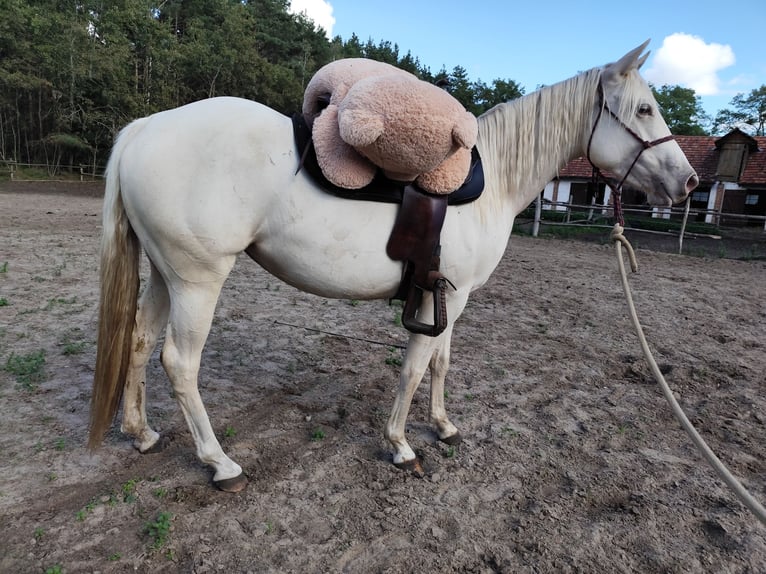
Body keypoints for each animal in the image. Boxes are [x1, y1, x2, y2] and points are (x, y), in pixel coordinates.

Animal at [90, 40, 704, 492]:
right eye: (644, 109)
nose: (689, 182)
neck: (491, 183)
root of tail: (146, 127)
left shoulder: (451, 295)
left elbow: (440, 363)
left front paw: (443, 426)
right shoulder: (446, 295)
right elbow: (413, 367)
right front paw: (401, 445)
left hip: (167, 274)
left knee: (140, 340)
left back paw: (141, 433)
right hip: (199, 280)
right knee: (180, 363)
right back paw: (221, 464)